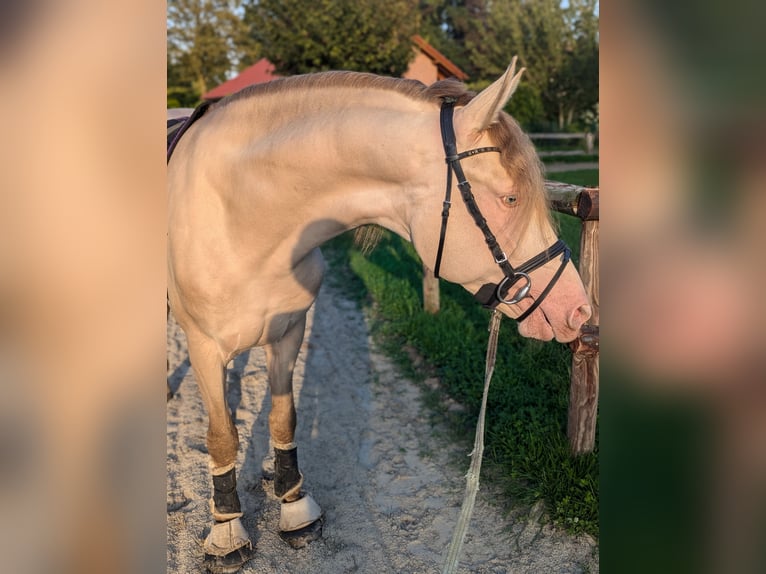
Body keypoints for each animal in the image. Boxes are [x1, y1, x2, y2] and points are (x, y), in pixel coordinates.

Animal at [170, 60, 592, 572]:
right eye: (511, 198)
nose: (578, 309)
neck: (243, 220)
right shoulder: (204, 349)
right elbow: (222, 436)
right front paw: (227, 530)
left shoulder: (289, 332)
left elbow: (283, 418)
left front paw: (295, 507)